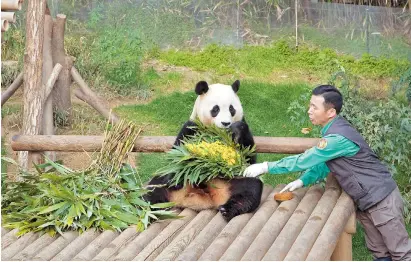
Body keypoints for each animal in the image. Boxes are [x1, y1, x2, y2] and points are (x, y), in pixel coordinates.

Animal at [143, 80, 262, 221]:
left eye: (231, 109)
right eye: (215, 109)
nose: (225, 123)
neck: (215, 132)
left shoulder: (243, 127)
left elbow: (249, 158)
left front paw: (236, 129)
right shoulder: (191, 128)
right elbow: (176, 156)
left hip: (226, 183)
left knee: (251, 187)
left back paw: (229, 210)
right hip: (172, 183)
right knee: (156, 187)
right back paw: (149, 209)